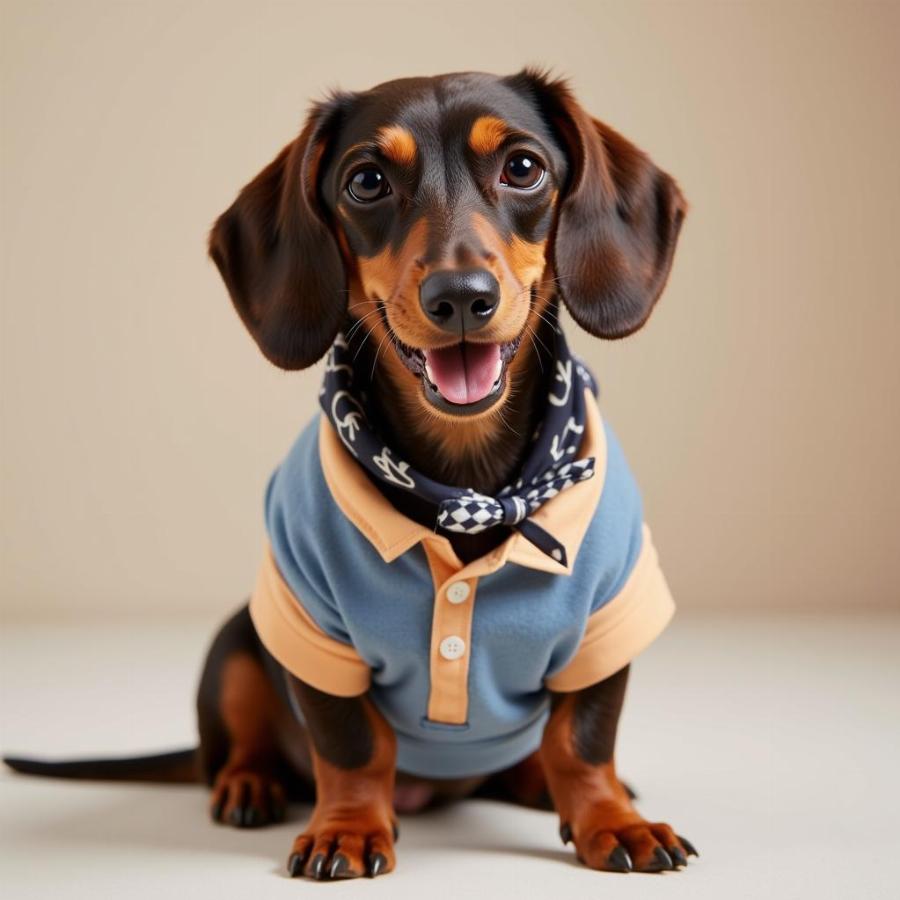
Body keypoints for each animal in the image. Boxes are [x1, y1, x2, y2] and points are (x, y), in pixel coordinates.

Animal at [5, 68, 688, 880]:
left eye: (523, 168)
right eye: (367, 182)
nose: (461, 297)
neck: (464, 483)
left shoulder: (610, 618)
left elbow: (582, 738)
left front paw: (613, 820)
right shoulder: (308, 623)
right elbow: (353, 745)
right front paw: (349, 829)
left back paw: (532, 780)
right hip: (236, 642)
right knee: (240, 744)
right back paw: (249, 784)